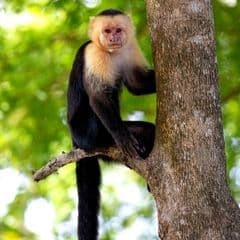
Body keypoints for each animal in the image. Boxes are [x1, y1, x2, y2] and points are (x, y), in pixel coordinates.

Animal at [66, 8, 155, 239]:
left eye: (118, 30)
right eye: (106, 31)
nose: (113, 37)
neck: (112, 53)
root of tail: (75, 143)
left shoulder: (130, 47)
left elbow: (137, 83)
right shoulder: (93, 54)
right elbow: (98, 97)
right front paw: (122, 135)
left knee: (147, 131)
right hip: (85, 133)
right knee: (93, 104)